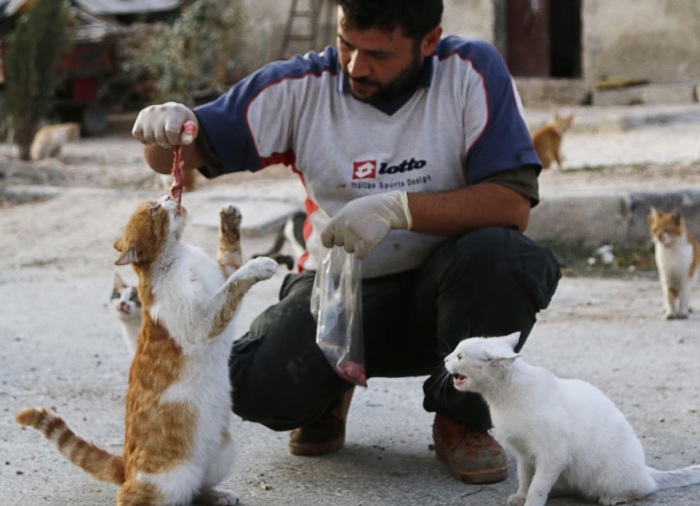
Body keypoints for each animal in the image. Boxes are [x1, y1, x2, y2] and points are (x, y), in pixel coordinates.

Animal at [15, 196, 278, 504]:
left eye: (158, 200)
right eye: (154, 210)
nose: (170, 196)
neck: (179, 256)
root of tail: (125, 466)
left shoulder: (220, 275)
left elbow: (231, 258)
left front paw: (230, 218)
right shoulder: (204, 321)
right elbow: (235, 282)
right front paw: (259, 266)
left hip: (222, 455)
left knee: (197, 490)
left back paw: (217, 494)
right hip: (170, 479)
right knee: (137, 496)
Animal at [442, 332, 700, 506]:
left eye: (460, 356)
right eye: (455, 351)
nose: (444, 359)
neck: (504, 400)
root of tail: (645, 467)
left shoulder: (552, 456)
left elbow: (537, 487)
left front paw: (531, 502)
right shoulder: (525, 455)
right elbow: (526, 479)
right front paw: (521, 496)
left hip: (610, 475)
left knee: (645, 487)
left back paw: (614, 497)